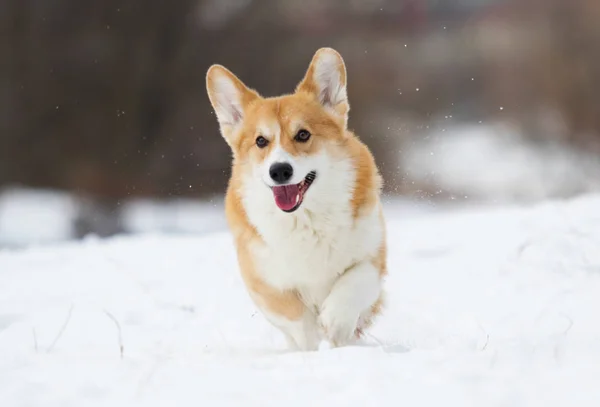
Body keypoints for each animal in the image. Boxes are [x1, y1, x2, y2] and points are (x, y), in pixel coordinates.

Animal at [205, 47, 384, 348]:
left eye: (303, 135)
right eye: (261, 141)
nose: (279, 171)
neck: (305, 219)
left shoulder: (373, 258)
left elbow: (354, 282)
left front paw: (335, 324)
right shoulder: (263, 281)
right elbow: (296, 315)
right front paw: (313, 344)